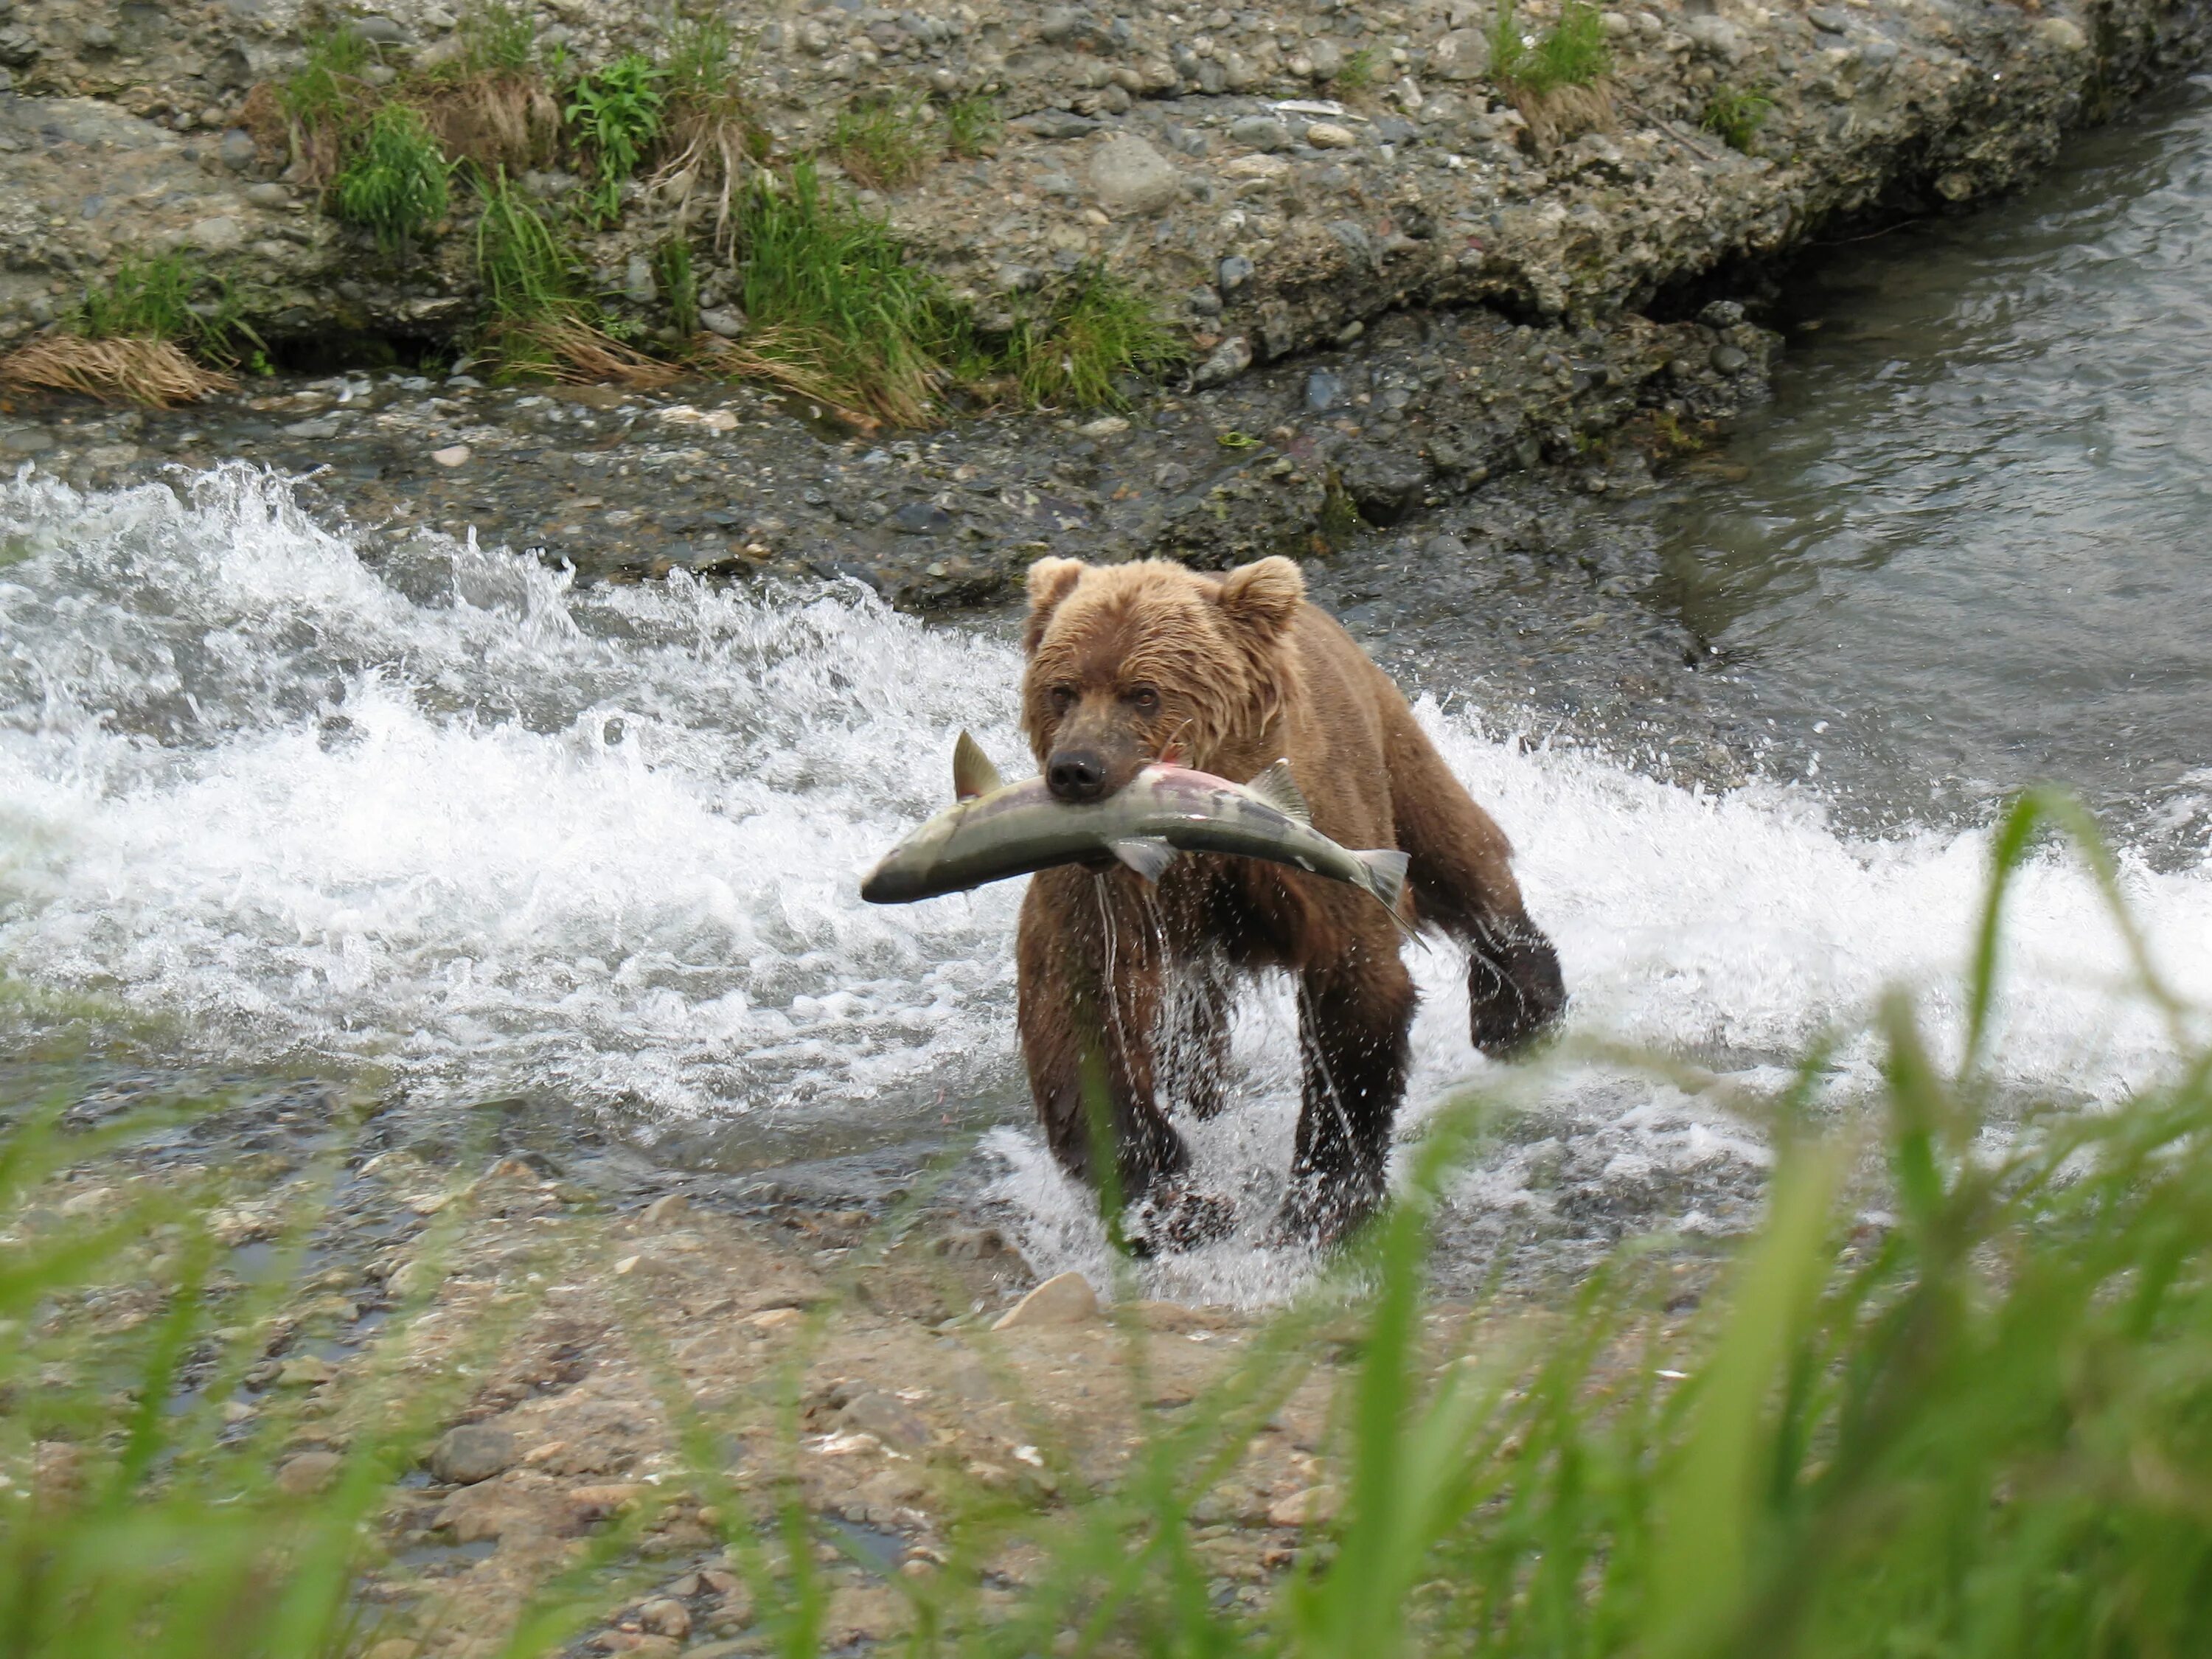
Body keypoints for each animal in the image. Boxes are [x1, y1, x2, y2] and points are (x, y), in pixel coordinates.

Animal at [1013, 560, 1566, 1248]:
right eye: (1062, 690)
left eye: (1143, 692)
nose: (1077, 769)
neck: (1195, 840)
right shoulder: (1106, 890)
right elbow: (1085, 1008)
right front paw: (1175, 1204)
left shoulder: (1309, 848)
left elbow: (1354, 988)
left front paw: (1325, 1202)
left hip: (1389, 747)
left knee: (1456, 852)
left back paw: (1519, 1008)